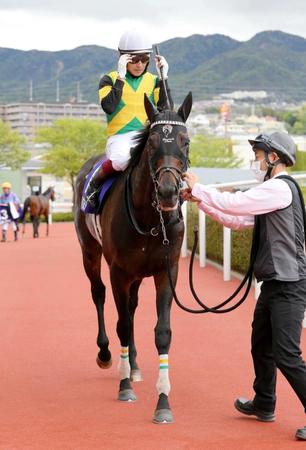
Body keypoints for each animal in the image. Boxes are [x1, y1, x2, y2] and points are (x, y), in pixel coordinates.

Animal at [73, 93, 191, 424]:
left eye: (186, 141)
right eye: (152, 142)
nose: (168, 191)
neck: (151, 219)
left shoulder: (167, 271)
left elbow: (162, 332)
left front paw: (163, 401)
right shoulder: (119, 272)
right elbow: (122, 324)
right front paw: (124, 387)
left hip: (138, 274)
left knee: (133, 306)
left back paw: (134, 364)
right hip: (90, 252)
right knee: (99, 294)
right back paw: (106, 354)